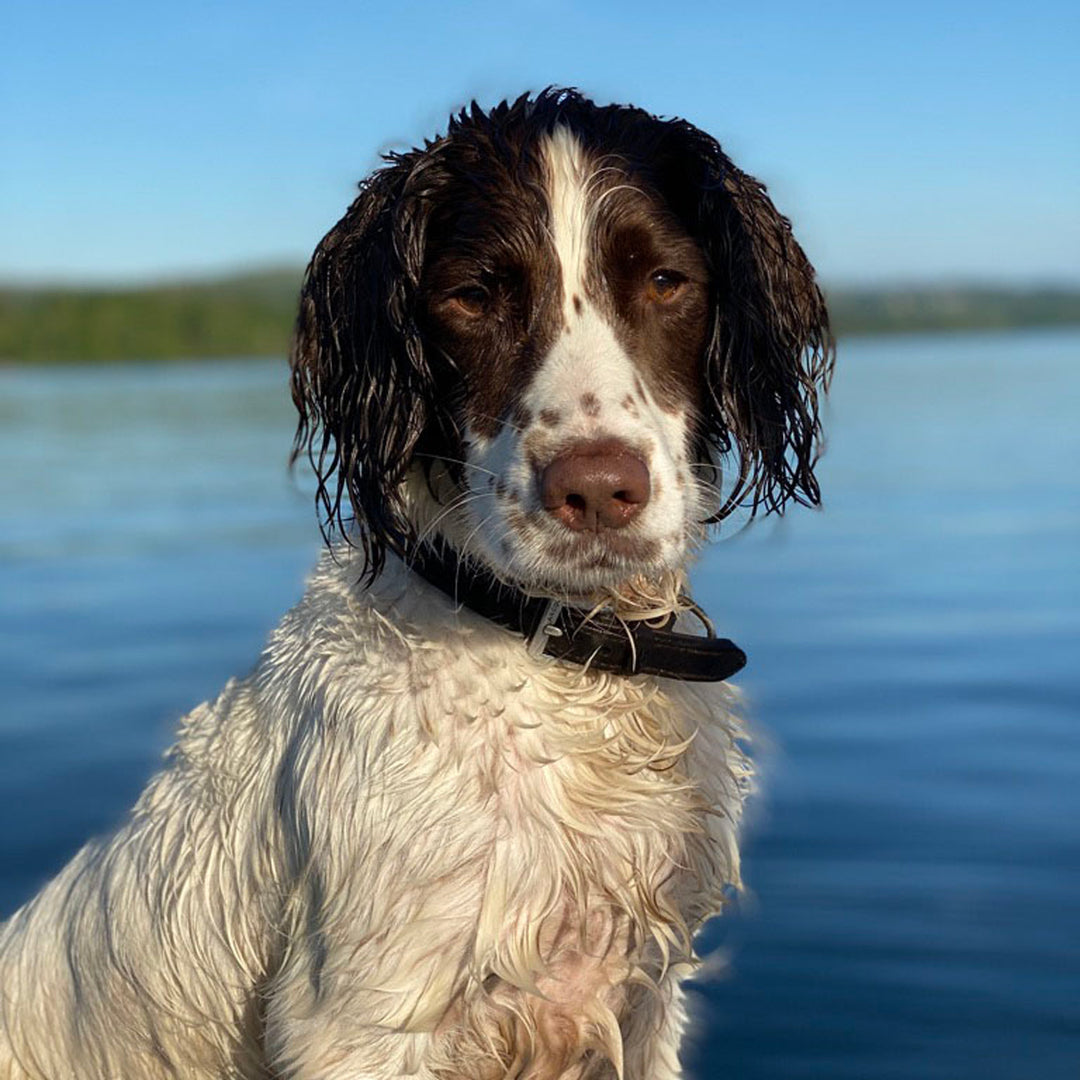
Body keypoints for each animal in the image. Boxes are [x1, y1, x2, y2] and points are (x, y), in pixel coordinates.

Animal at [0, 88, 833, 1075]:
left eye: (667, 282)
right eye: (471, 297)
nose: (597, 489)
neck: (553, 655)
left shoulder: (644, 1005)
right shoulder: (364, 1023)